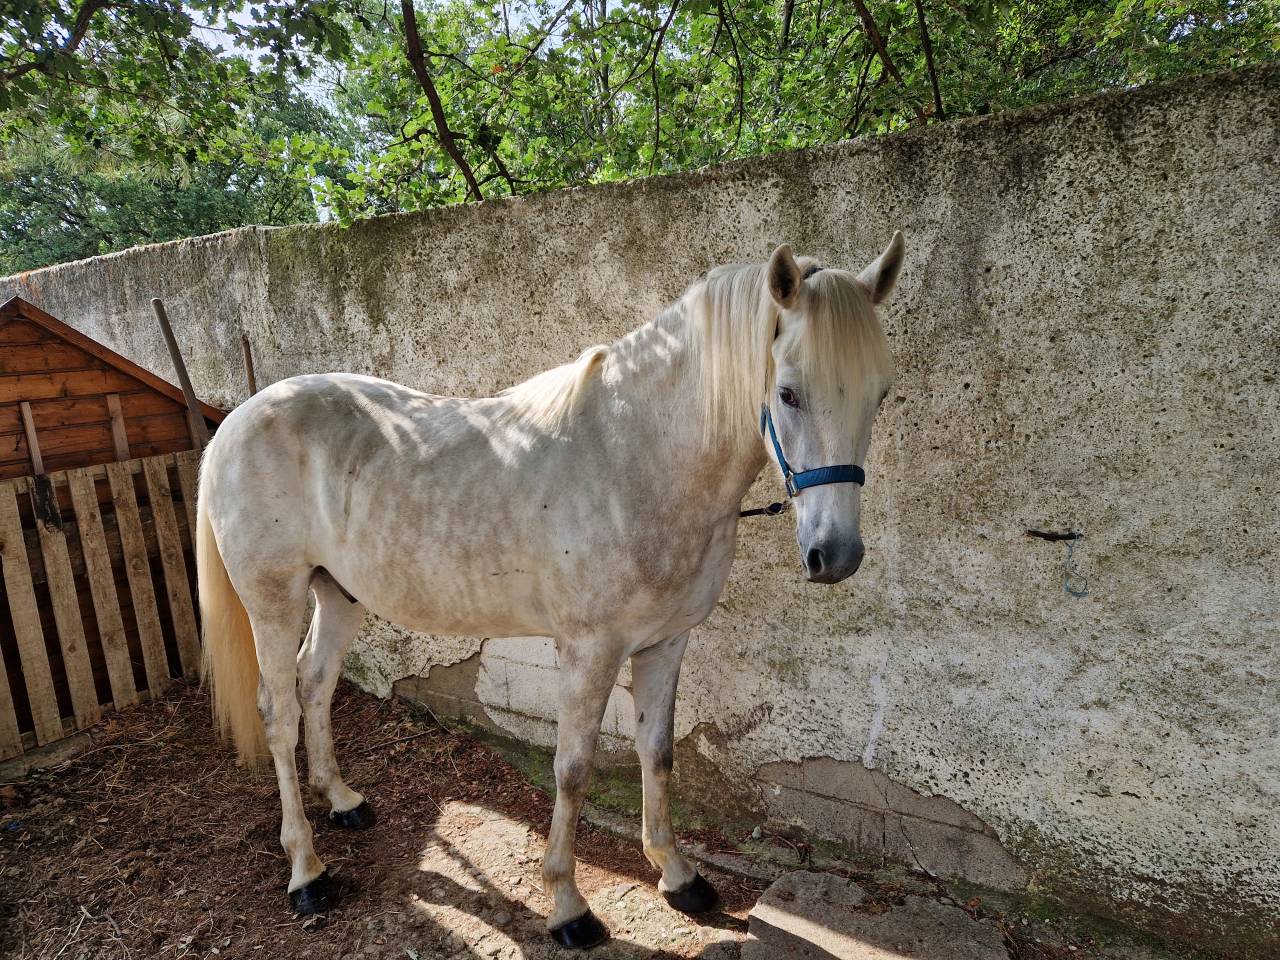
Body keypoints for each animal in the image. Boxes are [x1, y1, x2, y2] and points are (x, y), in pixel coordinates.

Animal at [197, 235, 904, 949]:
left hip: (339, 594)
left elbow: (658, 752)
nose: (835, 555)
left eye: (880, 393)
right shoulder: (589, 651)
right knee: (278, 711)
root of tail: (237, 421)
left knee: (315, 682)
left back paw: (343, 802)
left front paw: (678, 876)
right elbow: (573, 768)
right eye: (787, 393)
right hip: (274, 600)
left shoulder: (666, 643)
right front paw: (567, 907)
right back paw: (307, 872)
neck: (636, 461)